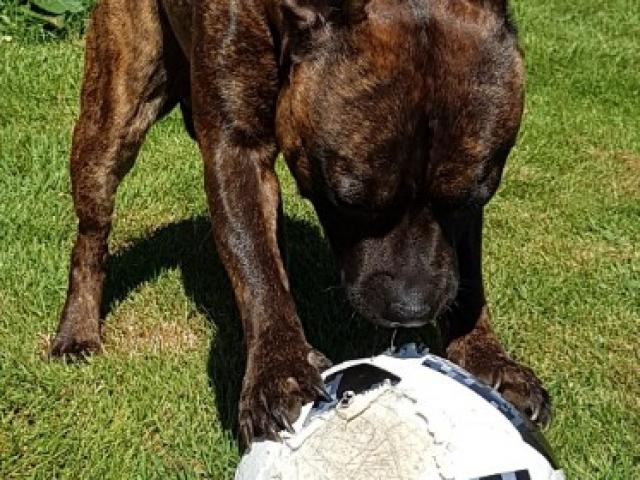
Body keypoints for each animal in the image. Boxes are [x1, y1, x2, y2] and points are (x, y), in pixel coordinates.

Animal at [51, 0, 552, 444]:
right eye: (350, 201)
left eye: (474, 198)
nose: (411, 310)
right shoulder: (236, 149)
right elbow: (256, 267)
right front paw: (279, 373)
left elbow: (470, 276)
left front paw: (485, 358)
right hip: (114, 114)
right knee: (91, 235)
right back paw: (77, 329)